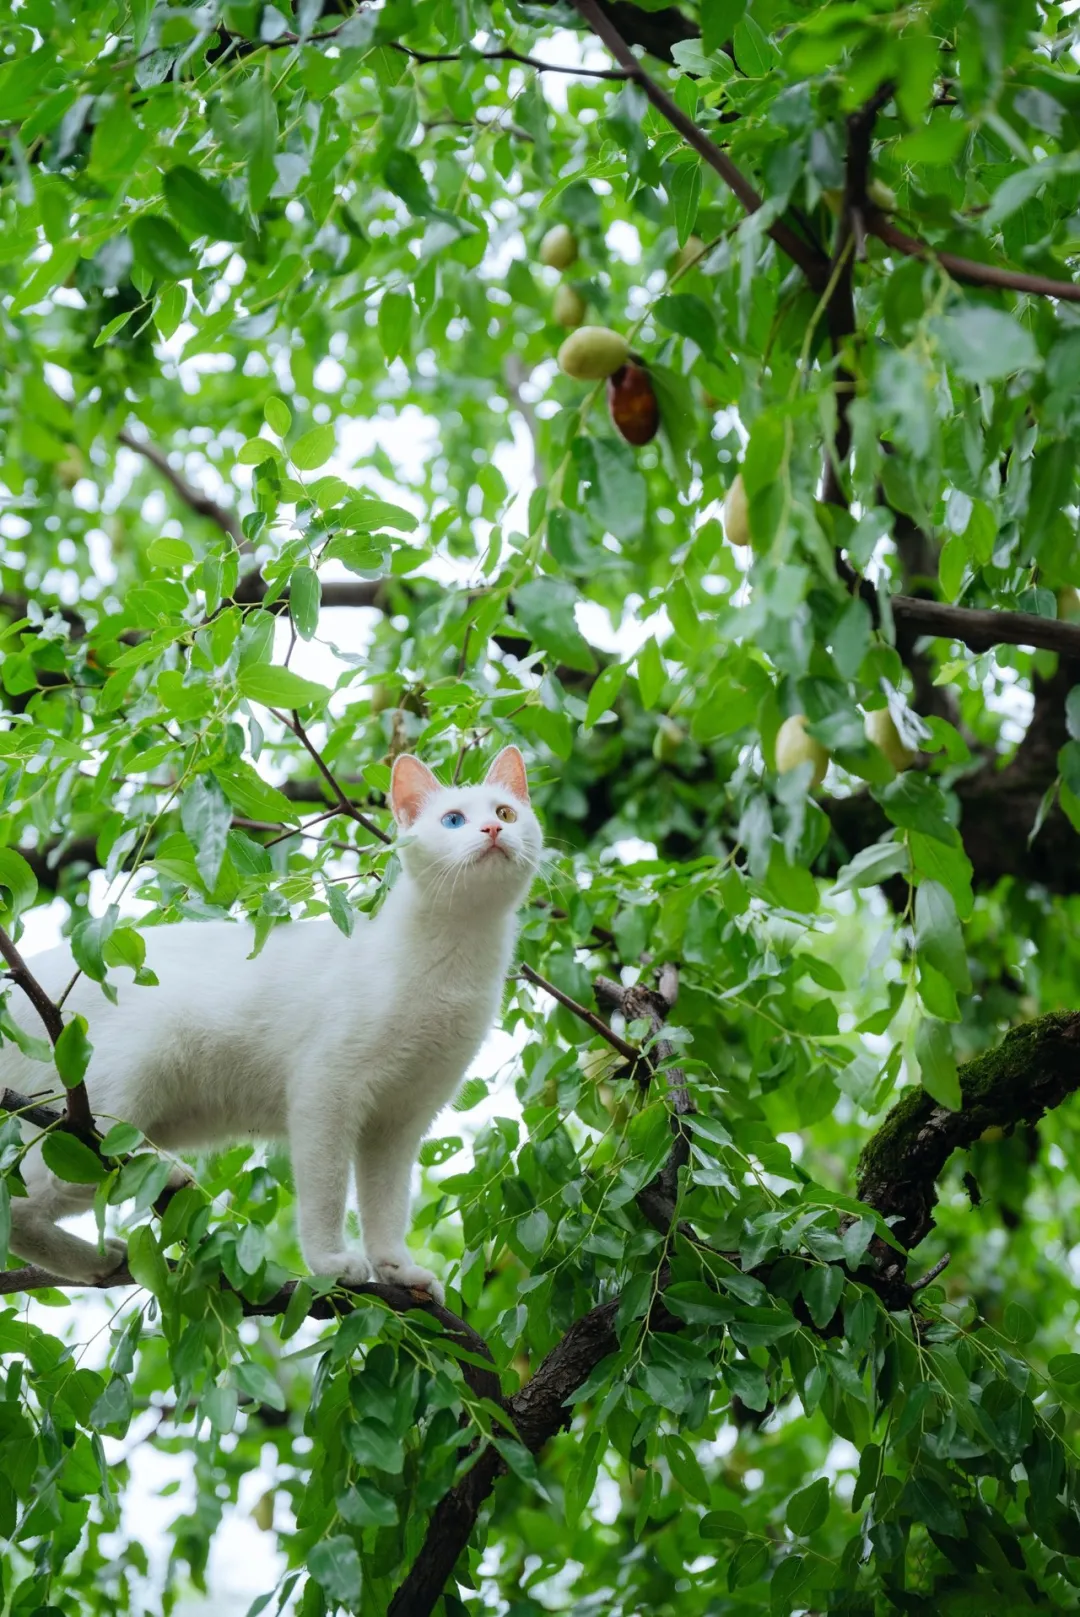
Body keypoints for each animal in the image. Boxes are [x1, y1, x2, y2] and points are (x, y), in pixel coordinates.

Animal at [0, 750, 540, 1306]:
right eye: (453, 820)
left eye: (507, 812)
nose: (493, 828)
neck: (456, 957)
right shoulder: (325, 1094)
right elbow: (326, 1193)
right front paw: (331, 1263)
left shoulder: (399, 1124)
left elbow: (386, 1207)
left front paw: (397, 1270)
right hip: (100, 1117)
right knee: (21, 1208)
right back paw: (105, 1255)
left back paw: (144, 1210)